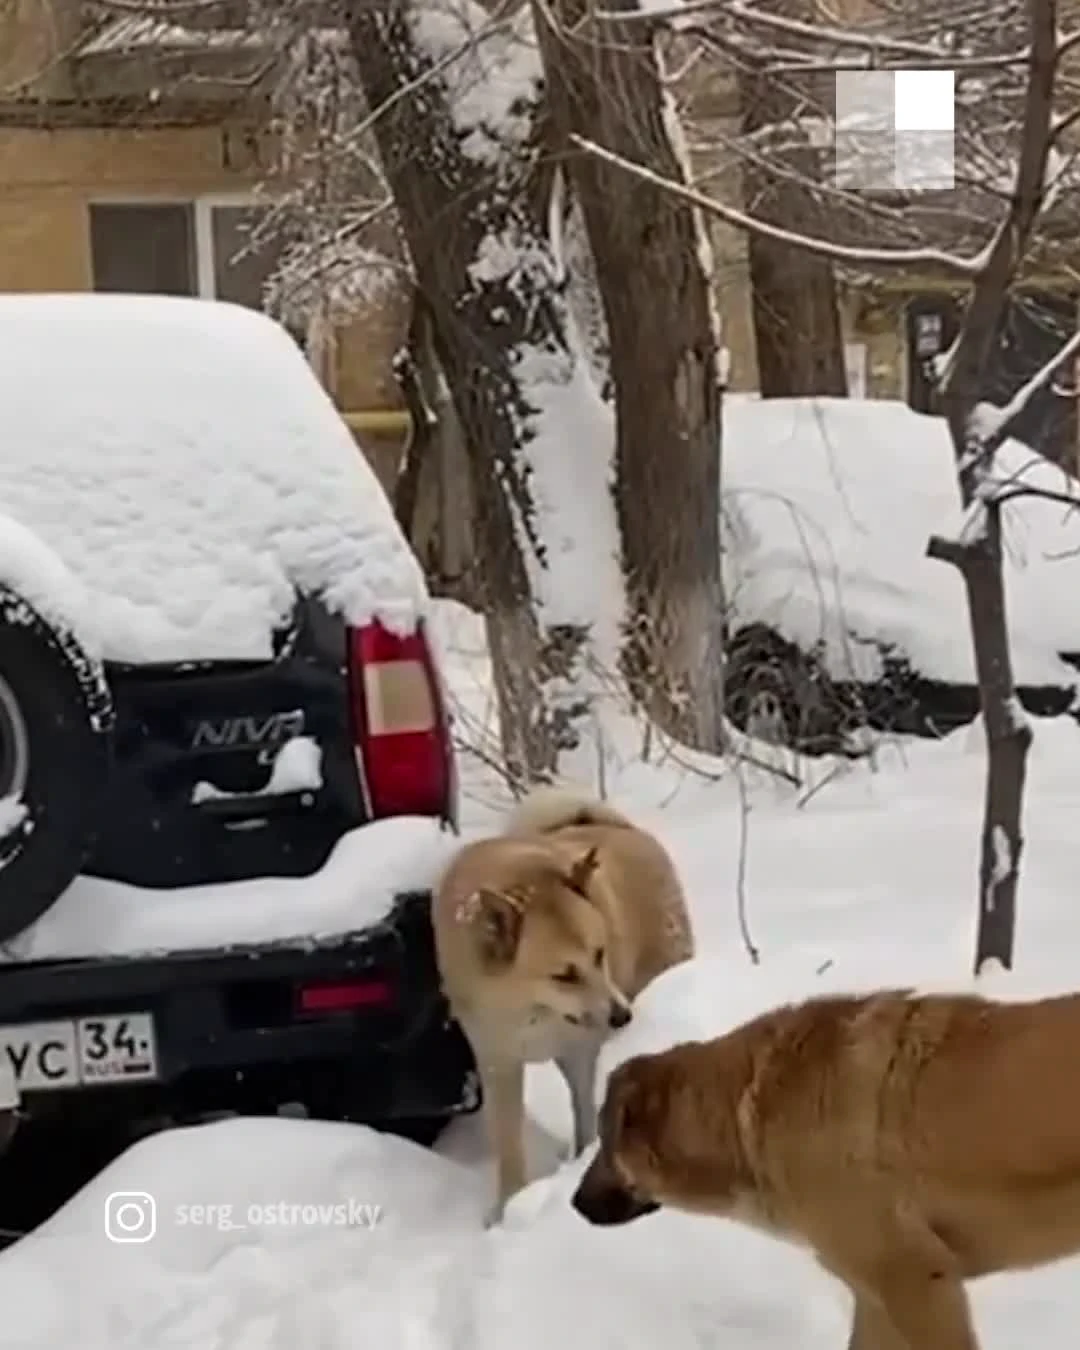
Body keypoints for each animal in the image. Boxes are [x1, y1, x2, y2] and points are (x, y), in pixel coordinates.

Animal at [429, 788, 691, 1231]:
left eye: (600, 954)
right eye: (564, 975)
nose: (622, 1017)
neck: (530, 1010)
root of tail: (617, 826)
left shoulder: (579, 1052)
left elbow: (584, 1114)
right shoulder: (498, 1062)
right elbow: (509, 1145)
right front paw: (507, 1207)